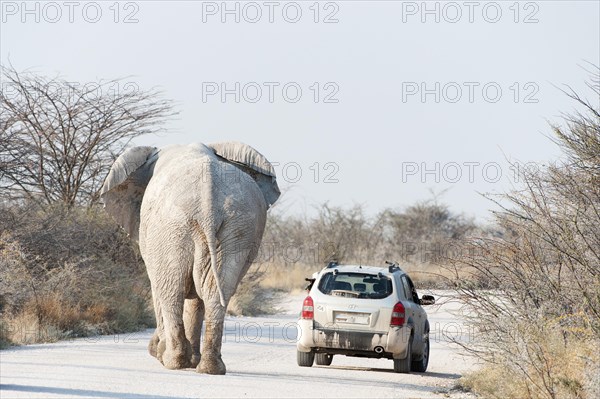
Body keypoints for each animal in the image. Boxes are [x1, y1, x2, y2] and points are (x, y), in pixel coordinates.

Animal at [101, 143, 282, 376]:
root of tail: (208, 199)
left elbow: (159, 288)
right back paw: (209, 367)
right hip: (238, 226)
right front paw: (191, 359)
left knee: (171, 291)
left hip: (170, 227)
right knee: (215, 291)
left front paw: (159, 351)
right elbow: (196, 299)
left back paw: (172, 360)